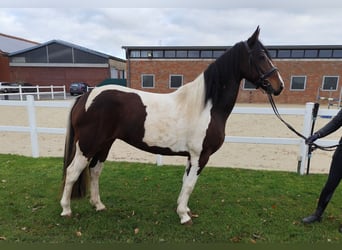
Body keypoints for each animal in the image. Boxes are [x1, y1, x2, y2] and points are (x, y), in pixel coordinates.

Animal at [60, 26, 284, 225]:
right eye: (261, 56)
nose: (279, 85)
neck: (206, 106)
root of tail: (85, 96)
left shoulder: (191, 157)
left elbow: (185, 182)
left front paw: (183, 209)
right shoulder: (200, 156)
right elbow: (190, 185)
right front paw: (184, 216)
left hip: (104, 144)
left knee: (95, 170)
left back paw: (98, 205)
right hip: (87, 145)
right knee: (72, 172)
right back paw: (66, 210)